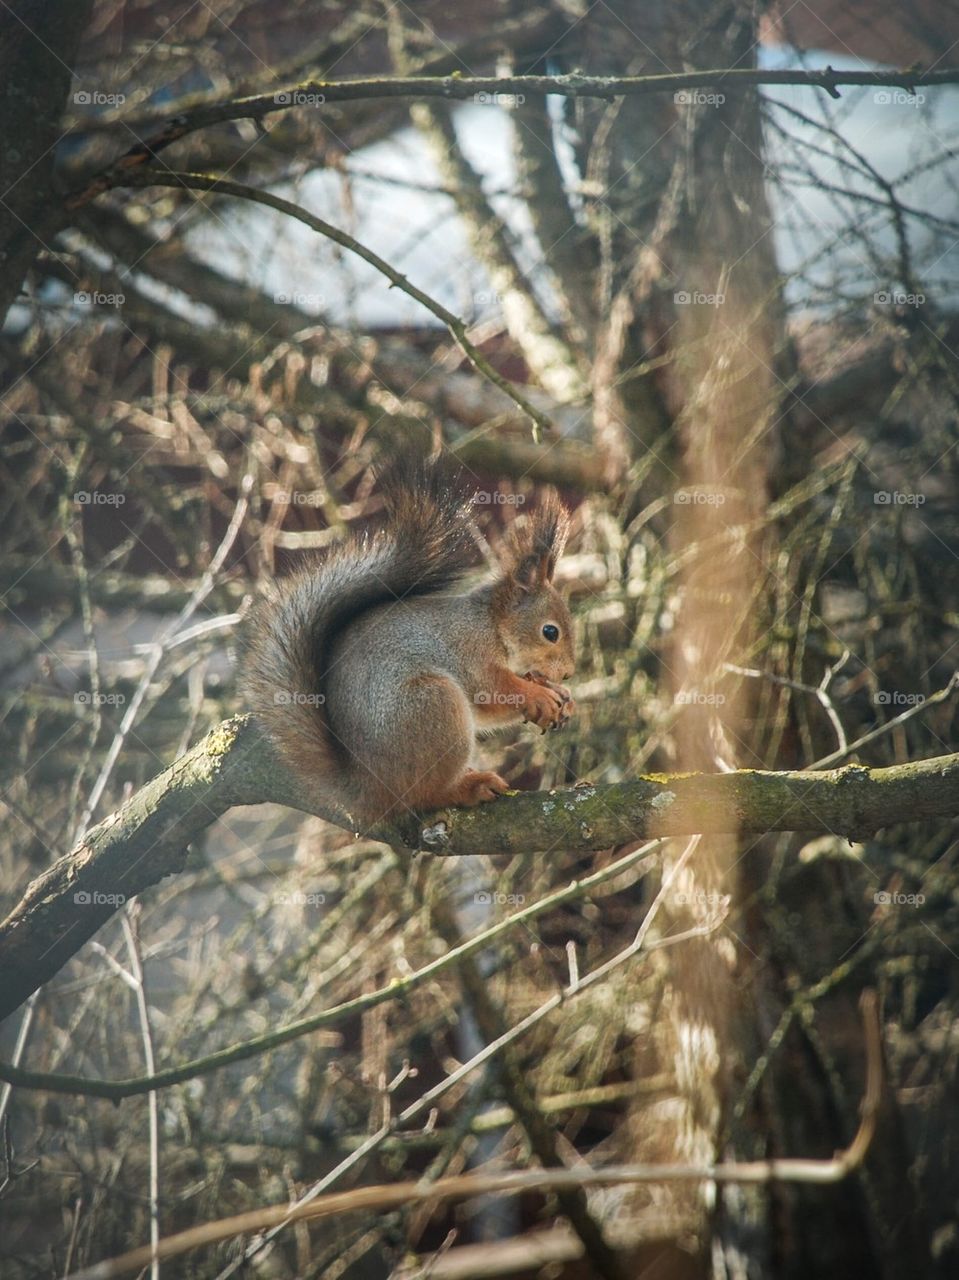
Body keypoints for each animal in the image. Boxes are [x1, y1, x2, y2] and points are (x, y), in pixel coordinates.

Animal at [241, 453, 576, 829]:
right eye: (550, 632)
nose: (568, 673)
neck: (490, 625)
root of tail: (366, 792)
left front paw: (560, 695)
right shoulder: (470, 654)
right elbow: (494, 691)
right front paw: (538, 694)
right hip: (431, 705)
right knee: (421, 797)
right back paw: (468, 787)